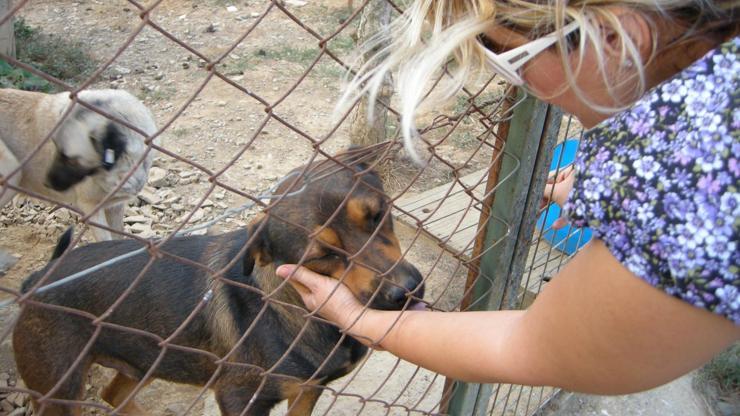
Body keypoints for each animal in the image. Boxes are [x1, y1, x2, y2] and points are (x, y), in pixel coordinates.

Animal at [0, 89, 158, 242]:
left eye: (69, 158)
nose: (46, 183)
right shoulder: (90, 207)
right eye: (55, 146)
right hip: (12, 174)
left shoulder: (115, 207)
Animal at [11, 158, 424, 414]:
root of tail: (38, 279)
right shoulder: (238, 397)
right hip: (59, 390)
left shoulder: (308, 390)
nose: (408, 291)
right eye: (322, 255)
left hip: (144, 360)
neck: (291, 306)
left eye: (378, 214)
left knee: (113, 393)